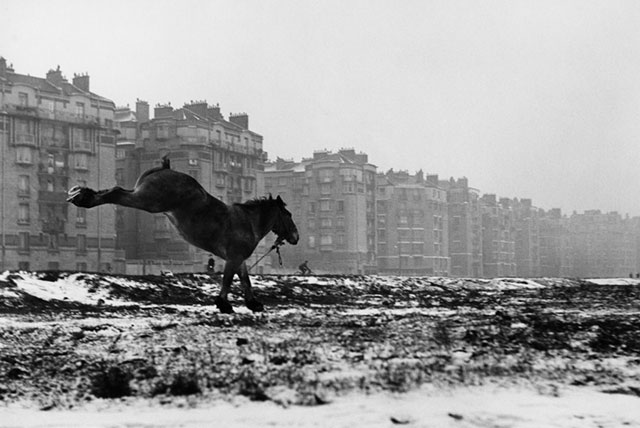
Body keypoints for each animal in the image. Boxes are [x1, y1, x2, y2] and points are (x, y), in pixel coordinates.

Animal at [67, 155, 300, 312]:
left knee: (116, 191)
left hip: (143, 197)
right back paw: (82, 198)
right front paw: (223, 304)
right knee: (116, 192)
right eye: (288, 214)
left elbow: (244, 279)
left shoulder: (238, 258)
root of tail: (164, 169)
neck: (247, 221)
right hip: (148, 201)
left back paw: (82, 195)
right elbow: (228, 279)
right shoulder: (233, 257)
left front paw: (253, 303)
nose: (296, 237)